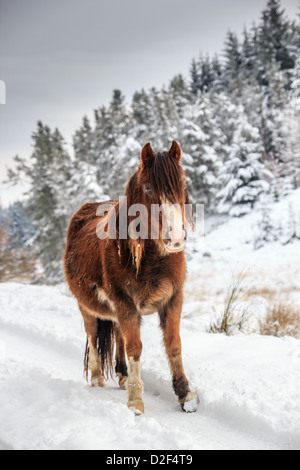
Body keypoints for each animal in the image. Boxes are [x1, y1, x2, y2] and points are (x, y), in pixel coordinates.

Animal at [64, 140, 198, 414]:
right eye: (148, 187)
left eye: (183, 183)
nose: (175, 238)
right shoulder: (126, 303)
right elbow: (135, 347)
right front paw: (136, 401)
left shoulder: (173, 299)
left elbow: (173, 343)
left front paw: (185, 396)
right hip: (87, 307)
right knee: (93, 335)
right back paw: (97, 377)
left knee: (117, 335)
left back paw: (123, 374)